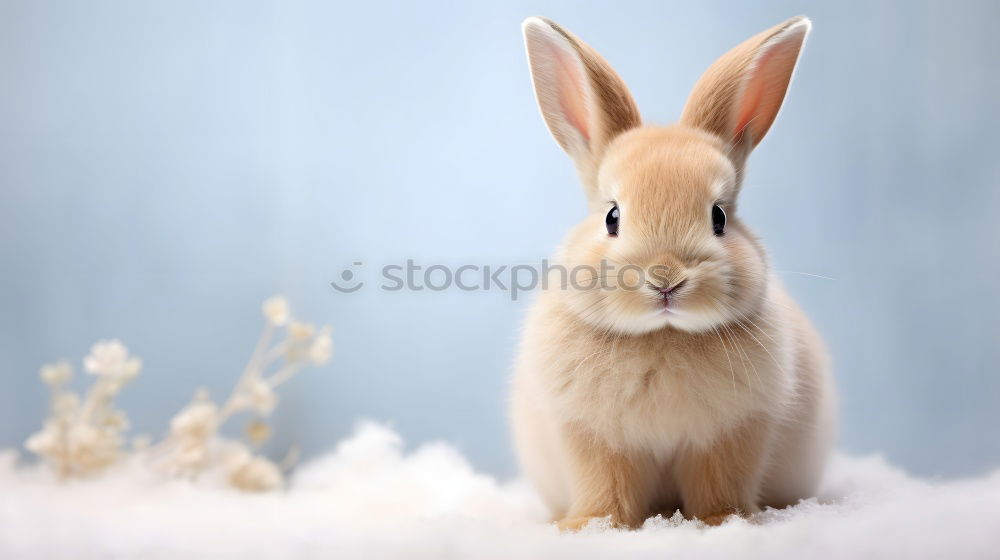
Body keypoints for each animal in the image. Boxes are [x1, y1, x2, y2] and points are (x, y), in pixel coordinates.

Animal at [508, 15, 836, 532]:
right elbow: (605, 489)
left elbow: (718, 486)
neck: (662, 336)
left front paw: (724, 522)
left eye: (719, 217)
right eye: (612, 217)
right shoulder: (594, 440)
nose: (665, 279)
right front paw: (589, 526)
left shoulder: (731, 436)